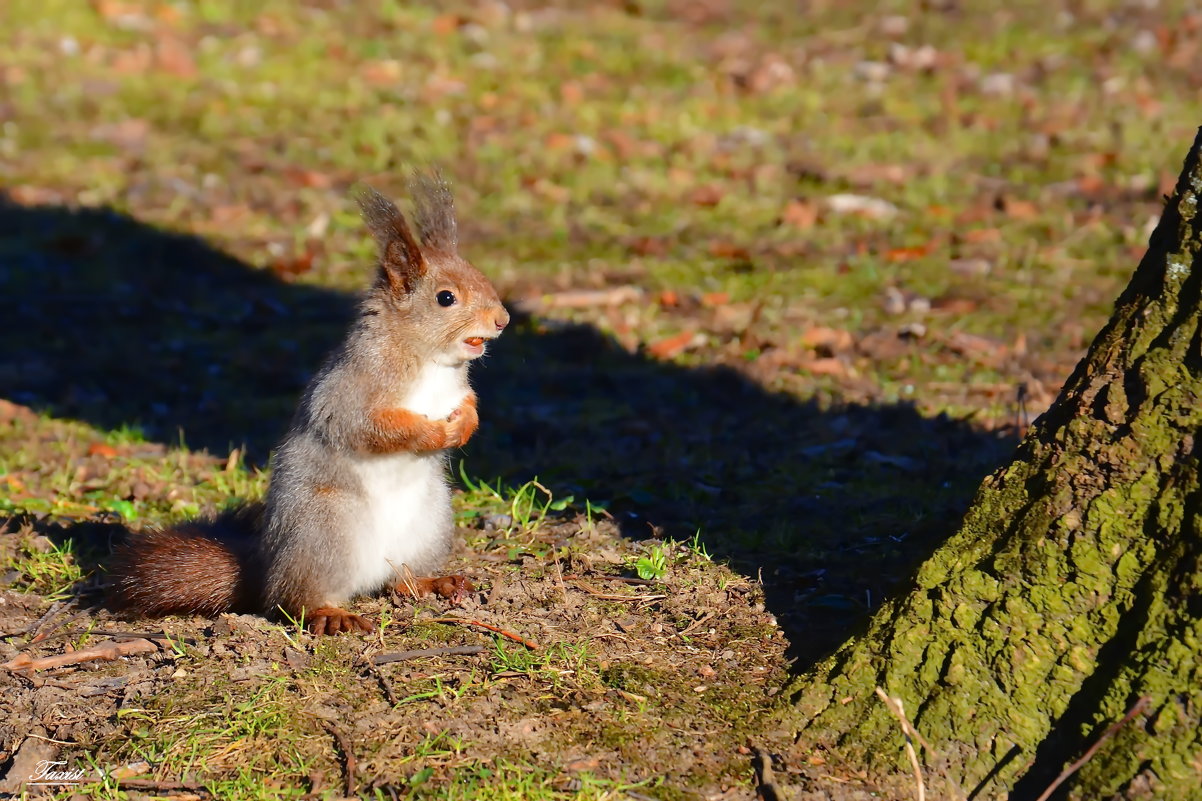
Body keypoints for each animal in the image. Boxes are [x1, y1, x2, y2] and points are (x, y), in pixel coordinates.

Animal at [104, 171, 512, 635]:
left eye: (481, 275)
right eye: (446, 298)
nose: (502, 319)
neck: (429, 359)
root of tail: (266, 568)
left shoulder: (457, 389)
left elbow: (470, 403)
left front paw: (463, 425)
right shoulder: (351, 390)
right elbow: (370, 427)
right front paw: (431, 432)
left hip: (430, 522)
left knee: (399, 580)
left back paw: (432, 582)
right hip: (325, 529)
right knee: (291, 600)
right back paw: (330, 613)